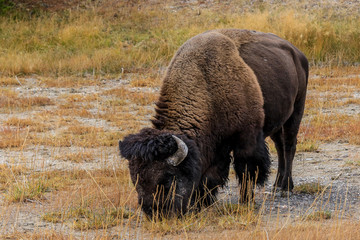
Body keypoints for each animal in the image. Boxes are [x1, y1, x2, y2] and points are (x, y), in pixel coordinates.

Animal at [119, 29, 310, 218]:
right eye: (135, 180)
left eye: (168, 179)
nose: (154, 212)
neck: (208, 88)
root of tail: (297, 53)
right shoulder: (216, 147)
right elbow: (210, 175)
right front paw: (202, 203)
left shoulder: (247, 138)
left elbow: (245, 170)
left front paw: (246, 201)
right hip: (278, 122)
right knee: (280, 147)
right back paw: (277, 184)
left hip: (296, 111)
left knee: (289, 146)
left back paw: (286, 187)